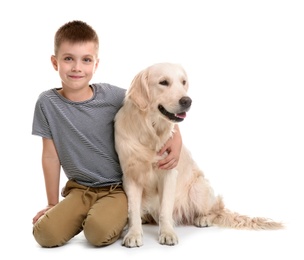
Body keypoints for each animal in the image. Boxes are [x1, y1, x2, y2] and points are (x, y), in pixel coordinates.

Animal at [113, 62, 282, 247]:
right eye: (163, 82)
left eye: (183, 82)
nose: (187, 101)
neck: (151, 130)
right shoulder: (131, 175)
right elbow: (133, 210)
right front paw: (134, 234)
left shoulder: (169, 172)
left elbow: (165, 208)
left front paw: (167, 233)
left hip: (198, 188)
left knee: (217, 209)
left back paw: (203, 219)